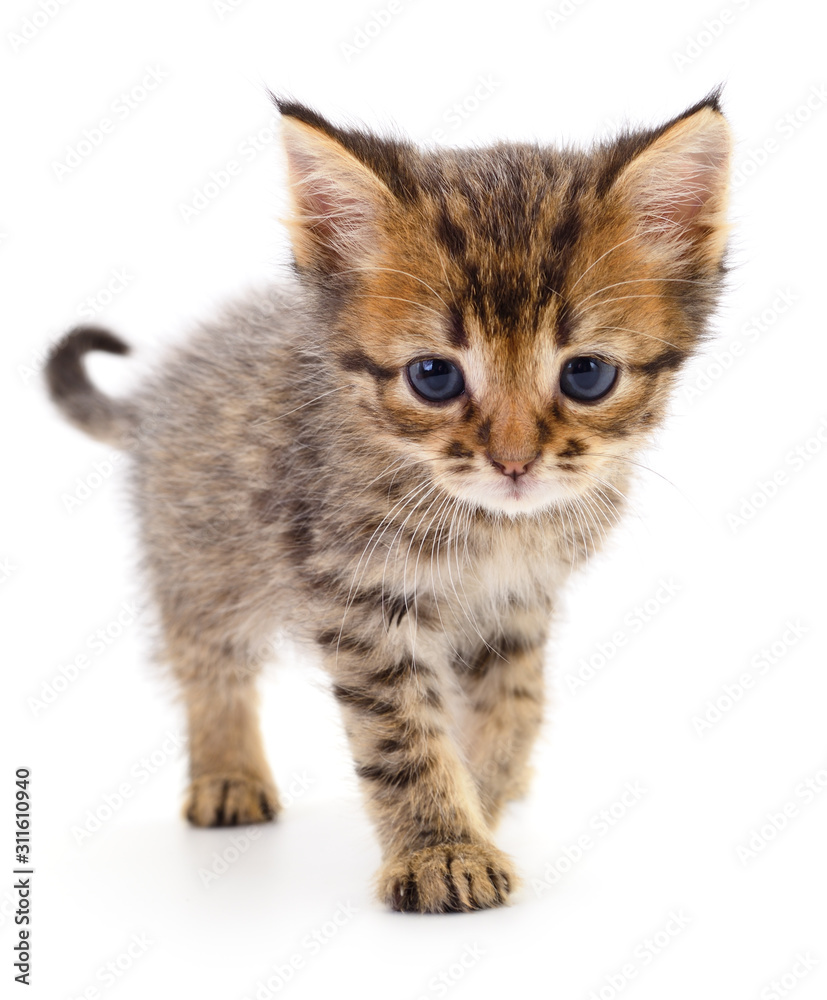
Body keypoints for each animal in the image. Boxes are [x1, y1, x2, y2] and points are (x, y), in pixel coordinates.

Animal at [45, 92, 732, 916]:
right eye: (433, 377)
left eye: (587, 375)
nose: (514, 462)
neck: (489, 527)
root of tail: (156, 398)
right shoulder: (362, 598)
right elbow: (401, 734)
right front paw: (442, 850)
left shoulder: (517, 603)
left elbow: (513, 705)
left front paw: (483, 800)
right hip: (202, 559)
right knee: (207, 663)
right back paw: (227, 773)